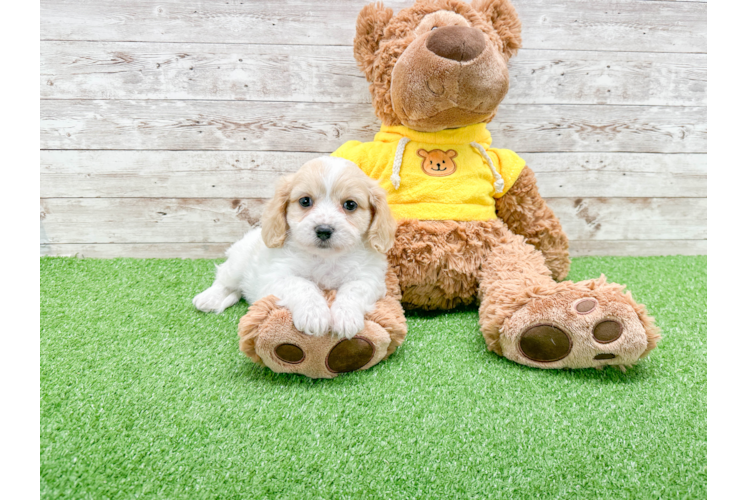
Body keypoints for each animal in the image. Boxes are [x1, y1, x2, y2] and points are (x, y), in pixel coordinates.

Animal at [193, 156, 398, 340]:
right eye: (305, 201)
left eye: (350, 205)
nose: (324, 230)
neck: (325, 257)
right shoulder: (275, 277)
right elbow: (302, 284)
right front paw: (314, 314)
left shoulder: (370, 278)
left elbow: (354, 289)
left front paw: (346, 317)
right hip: (237, 263)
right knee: (223, 280)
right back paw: (208, 298)